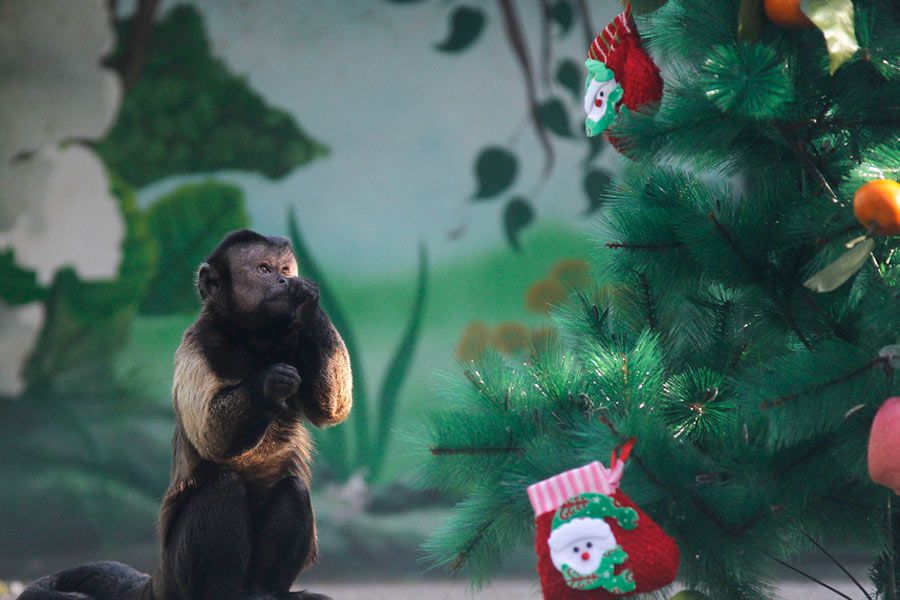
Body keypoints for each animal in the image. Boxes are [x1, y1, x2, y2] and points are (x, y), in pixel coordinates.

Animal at [19, 230, 353, 600]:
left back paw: (264, 590)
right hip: (181, 568)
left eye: (285, 270)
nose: (284, 280)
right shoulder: (196, 344)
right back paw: (222, 591)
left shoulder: (291, 336)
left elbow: (332, 408)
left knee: (292, 488)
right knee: (224, 485)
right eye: (264, 270)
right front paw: (269, 384)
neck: (252, 341)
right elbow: (213, 438)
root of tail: (159, 579)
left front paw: (309, 301)